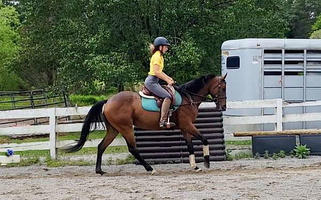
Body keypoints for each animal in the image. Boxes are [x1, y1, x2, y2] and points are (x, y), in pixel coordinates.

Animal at [63, 74, 226, 175]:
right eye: (222, 88)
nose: (223, 107)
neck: (188, 97)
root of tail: (108, 101)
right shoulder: (188, 125)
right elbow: (204, 139)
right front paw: (206, 162)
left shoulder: (185, 128)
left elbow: (190, 146)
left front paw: (195, 166)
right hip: (126, 128)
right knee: (132, 149)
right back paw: (150, 168)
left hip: (114, 130)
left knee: (101, 146)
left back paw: (100, 170)